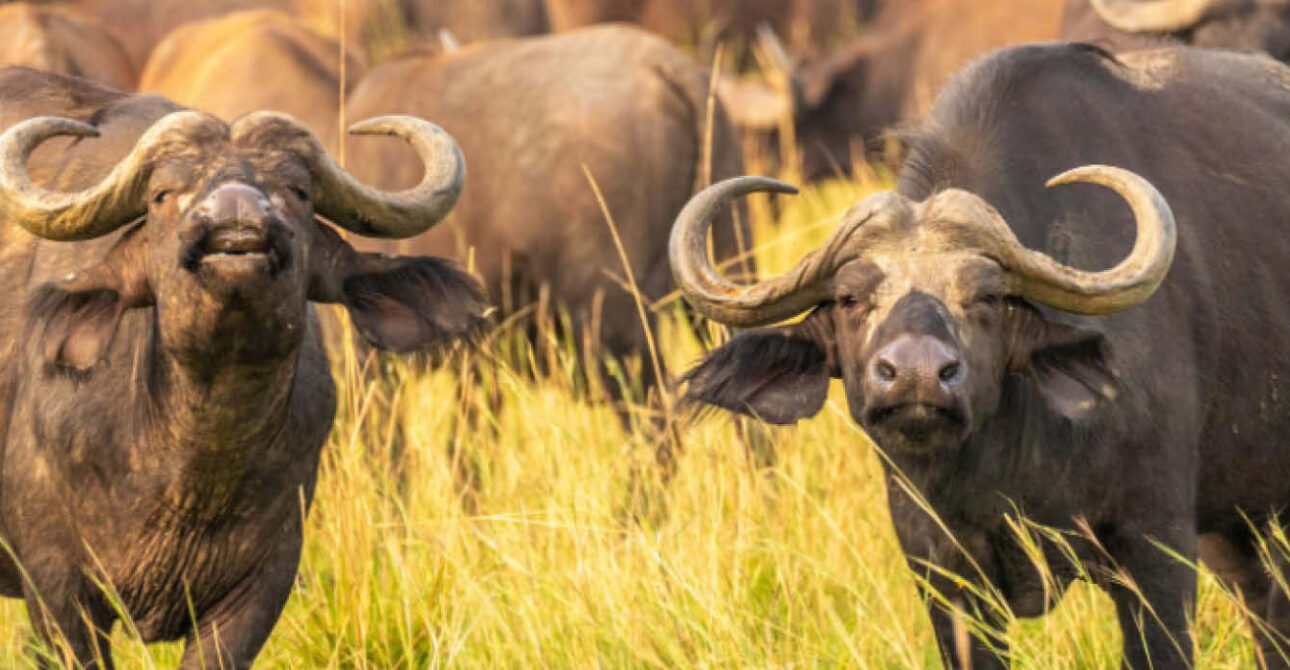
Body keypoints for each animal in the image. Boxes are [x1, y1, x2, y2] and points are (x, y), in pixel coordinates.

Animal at [0, 67, 483, 669]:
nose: (237, 219)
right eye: (161, 194)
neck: (193, 469)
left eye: (298, 191)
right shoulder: (56, 591)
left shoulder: (261, 588)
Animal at [677, 43, 1290, 668]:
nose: (916, 376)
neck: (1001, 465)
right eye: (850, 297)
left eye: (986, 296)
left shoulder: (1157, 548)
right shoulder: (944, 574)